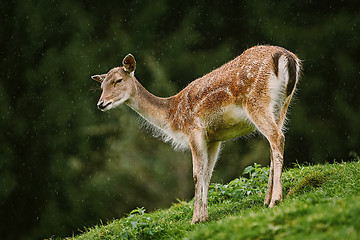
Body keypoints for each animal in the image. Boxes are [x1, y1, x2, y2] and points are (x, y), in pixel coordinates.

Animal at [92, 46, 300, 224]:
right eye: (101, 86)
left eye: (118, 80)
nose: (101, 104)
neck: (173, 116)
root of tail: (286, 57)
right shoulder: (214, 138)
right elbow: (207, 173)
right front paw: (204, 216)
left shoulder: (193, 130)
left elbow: (196, 174)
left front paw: (194, 219)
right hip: (283, 104)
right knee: (276, 141)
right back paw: (267, 198)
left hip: (256, 101)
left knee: (277, 137)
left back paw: (275, 199)